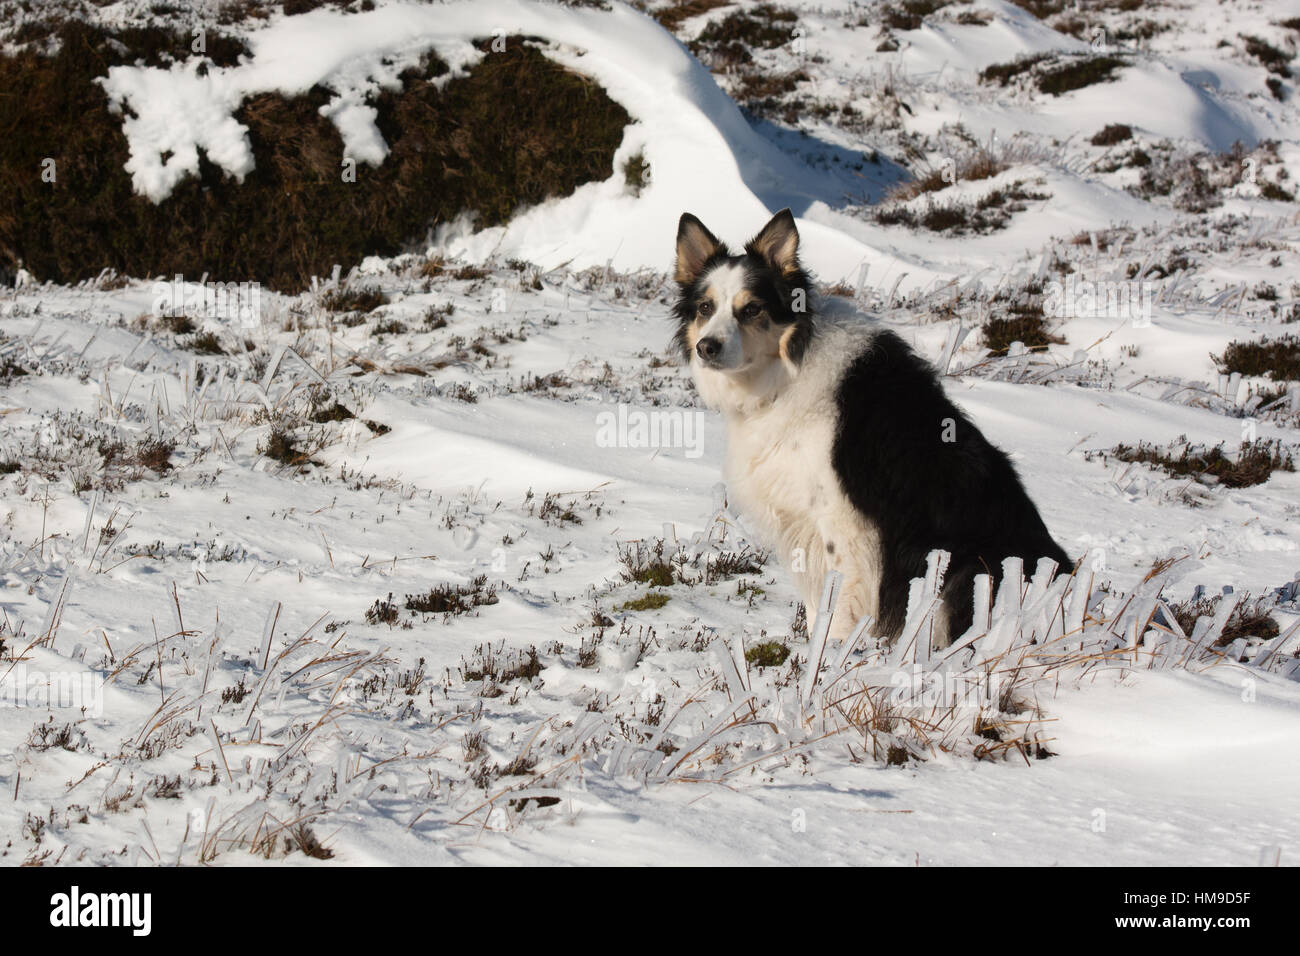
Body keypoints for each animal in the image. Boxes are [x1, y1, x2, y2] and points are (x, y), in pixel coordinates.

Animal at [676, 208, 1071, 642]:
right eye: (705, 307)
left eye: (751, 309)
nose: (707, 348)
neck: (785, 371)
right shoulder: (804, 526)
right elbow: (816, 610)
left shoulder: (845, 530)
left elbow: (837, 614)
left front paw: (828, 657)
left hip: (969, 569)